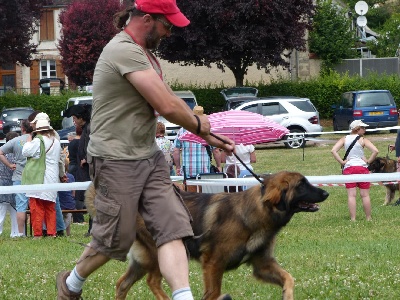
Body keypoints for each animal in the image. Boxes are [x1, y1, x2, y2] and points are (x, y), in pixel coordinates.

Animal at [85, 171, 328, 300]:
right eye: (302, 185)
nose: (326, 192)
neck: (256, 212)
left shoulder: (262, 264)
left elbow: (288, 278)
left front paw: (287, 295)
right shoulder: (213, 263)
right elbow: (213, 292)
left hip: (142, 260)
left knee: (122, 284)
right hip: (156, 254)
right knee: (152, 281)